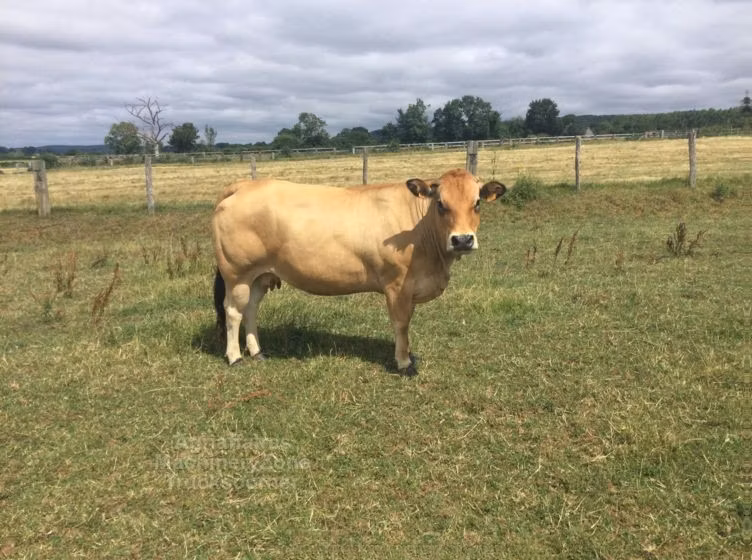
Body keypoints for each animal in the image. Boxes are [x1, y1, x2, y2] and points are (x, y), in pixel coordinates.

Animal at [212, 168, 507, 376]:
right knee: (233, 312)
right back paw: (235, 357)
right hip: (237, 274)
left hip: (259, 276)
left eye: (477, 203)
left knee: (251, 310)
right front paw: (404, 362)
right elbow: (401, 324)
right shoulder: (397, 285)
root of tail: (243, 186)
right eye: (441, 204)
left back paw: (257, 352)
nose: (462, 240)